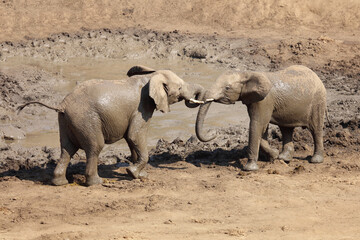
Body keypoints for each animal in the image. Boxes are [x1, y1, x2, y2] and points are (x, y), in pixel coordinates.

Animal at [18, 65, 204, 186]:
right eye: (179, 88)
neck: (149, 77)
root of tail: (62, 106)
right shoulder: (142, 108)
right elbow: (135, 135)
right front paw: (133, 173)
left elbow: (131, 139)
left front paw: (138, 174)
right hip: (86, 119)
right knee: (94, 147)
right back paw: (96, 182)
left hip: (66, 121)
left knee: (67, 149)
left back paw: (60, 183)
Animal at [195, 64, 328, 172]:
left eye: (227, 88)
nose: (213, 132)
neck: (246, 73)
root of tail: (316, 76)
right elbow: (262, 128)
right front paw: (274, 156)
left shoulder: (264, 101)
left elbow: (257, 125)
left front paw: (250, 169)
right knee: (286, 129)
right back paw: (284, 158)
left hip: (318, 101)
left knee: (315, 129)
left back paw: (315, 160)